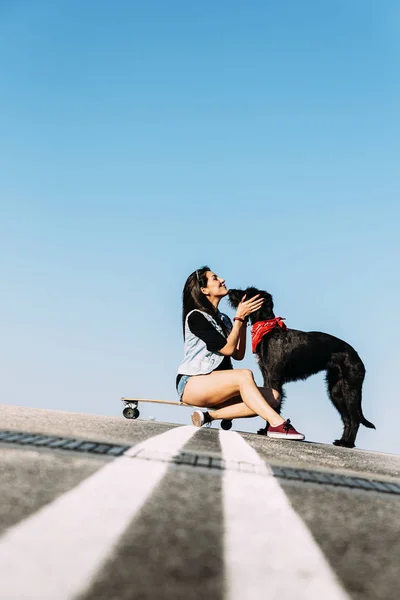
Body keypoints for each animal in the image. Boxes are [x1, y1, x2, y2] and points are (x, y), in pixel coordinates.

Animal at [228, 288, 376, 448]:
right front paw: (266, 430)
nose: (230, 291)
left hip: (350, 389)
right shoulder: (267, 377)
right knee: (347, 418)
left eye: (249, 292)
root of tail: (356, 356)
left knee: (355, 418)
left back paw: (348, 443)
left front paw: (269, 431)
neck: (269, 329)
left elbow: (274, 405)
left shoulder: (274, 378)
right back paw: (342, 441)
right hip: (336, 391)